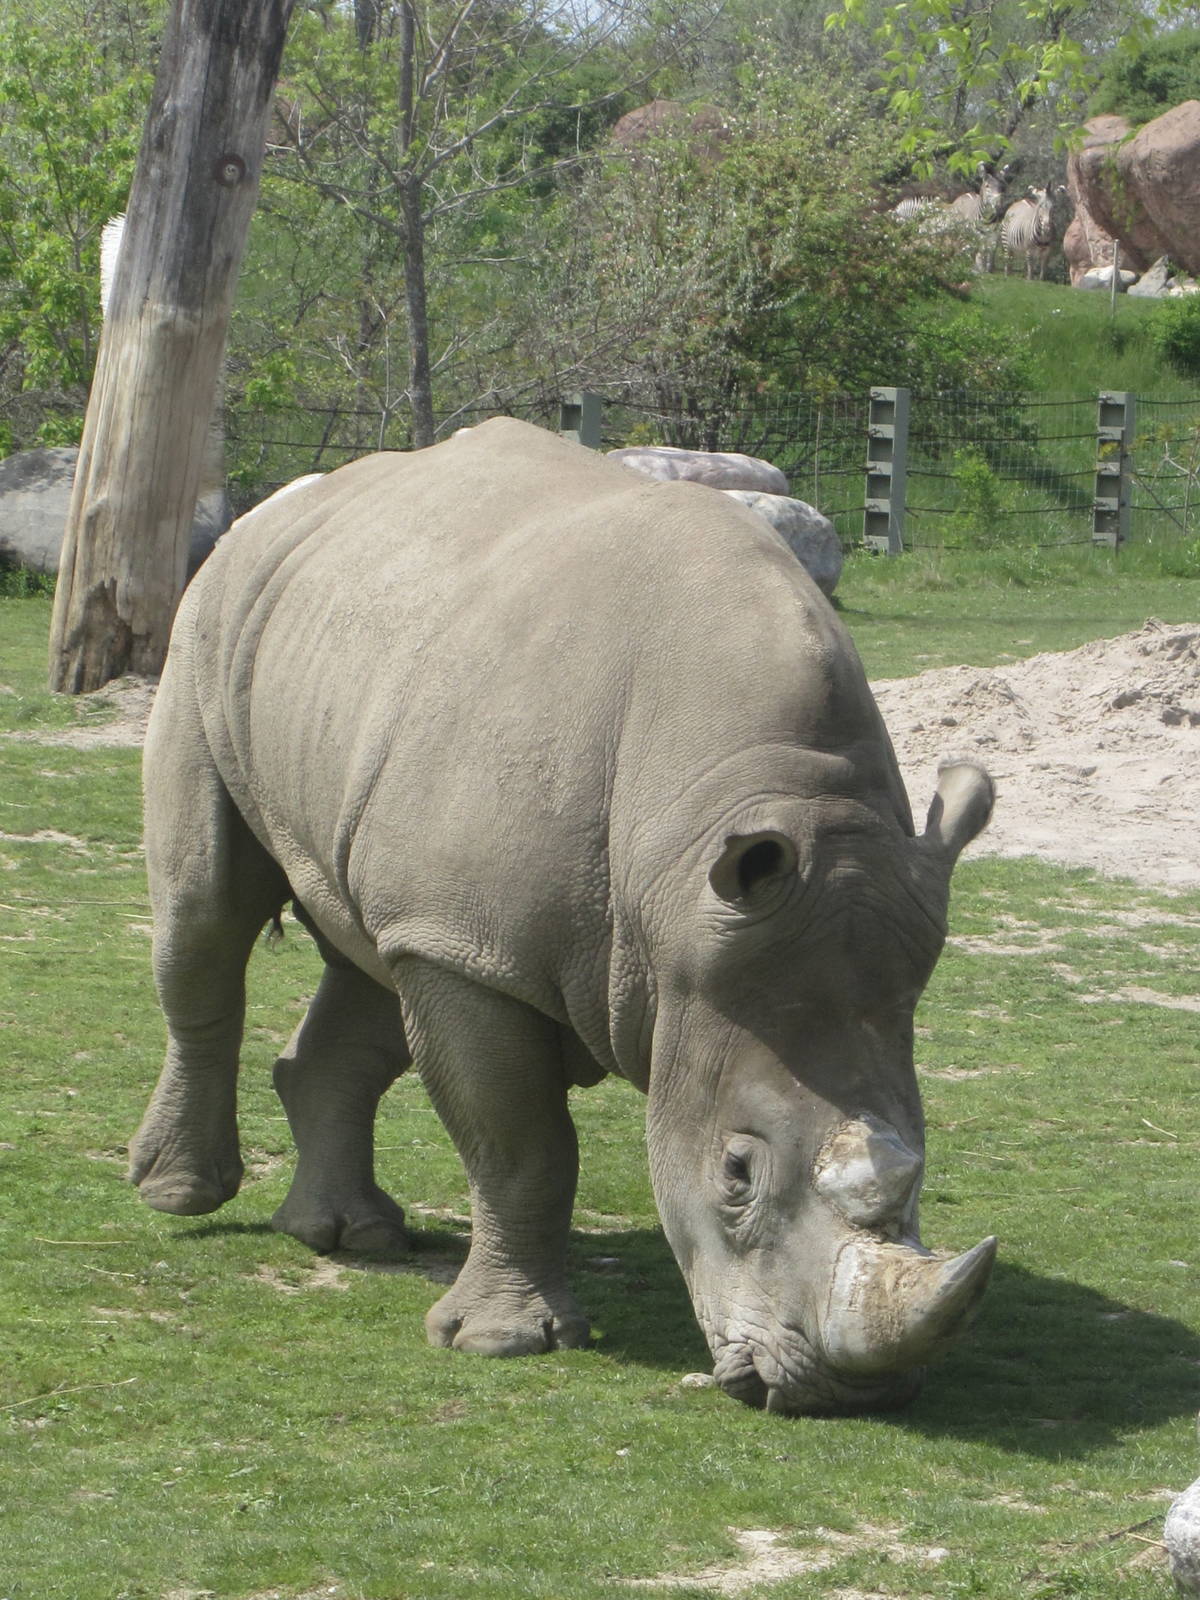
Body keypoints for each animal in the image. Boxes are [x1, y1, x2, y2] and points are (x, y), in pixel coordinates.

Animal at [132, 416, 996, 1415]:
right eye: (736, 1175)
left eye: (921, 1167)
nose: (843, 1396)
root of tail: (285, 502)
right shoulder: (475, 951)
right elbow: (521, 1145)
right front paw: (502, 1343)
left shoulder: (469, 931)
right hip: (211, 624)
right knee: (205, 916)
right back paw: (180, 1197)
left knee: (373, 958)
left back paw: (352, 1238)